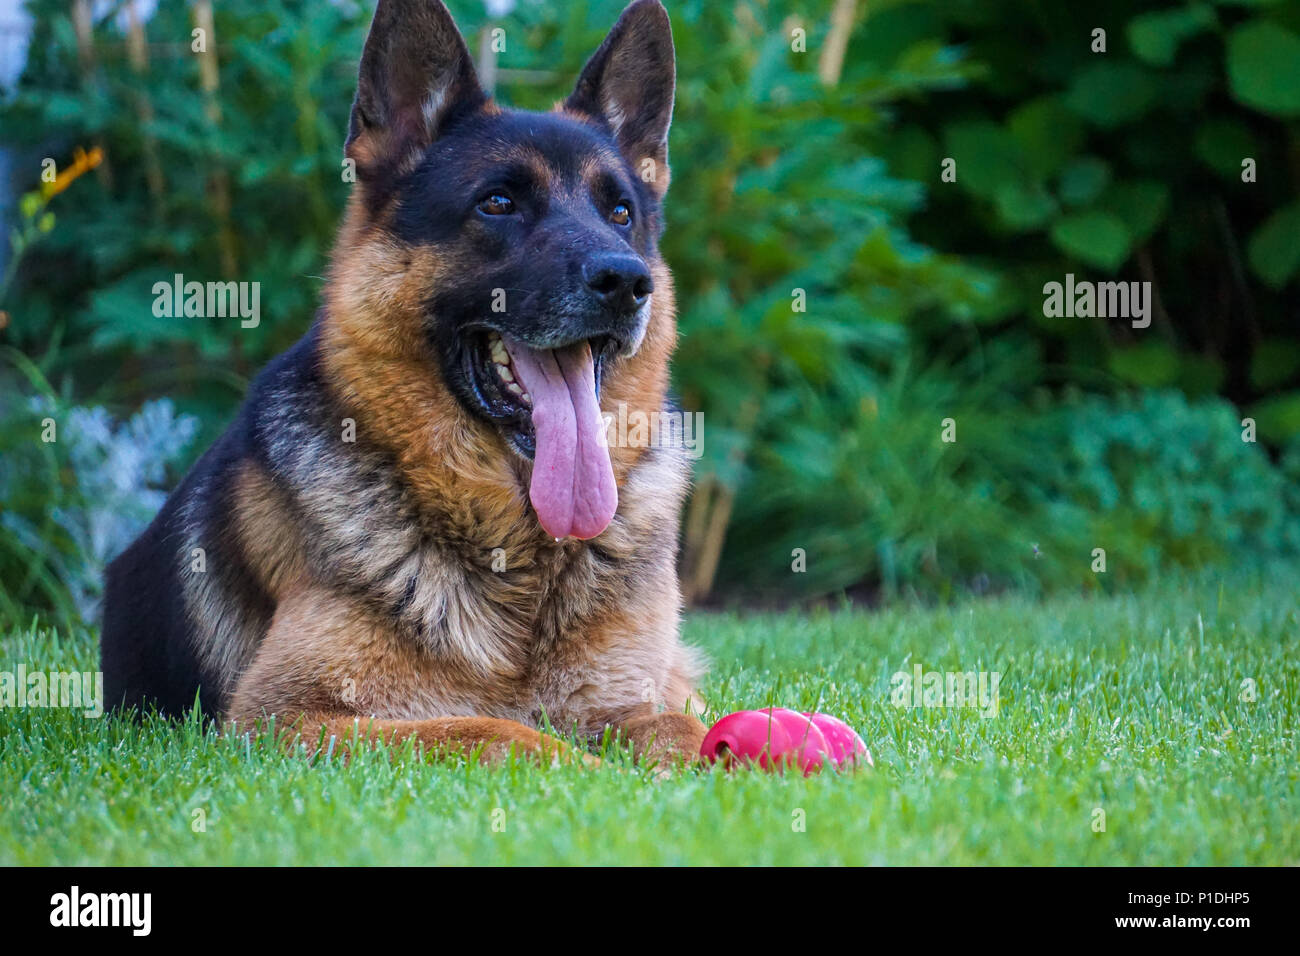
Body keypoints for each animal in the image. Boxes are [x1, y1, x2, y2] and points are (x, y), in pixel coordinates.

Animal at [101, 0, 712, 764]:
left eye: (621, 213)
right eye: (498, 203)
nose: (627, 283)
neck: (522, 557)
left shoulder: (629, 698)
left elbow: (684, 727)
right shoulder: (283, 717)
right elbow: (497, 730)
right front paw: (589, 773)